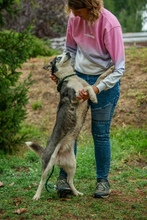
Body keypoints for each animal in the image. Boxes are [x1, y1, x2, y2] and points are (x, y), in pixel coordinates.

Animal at [25, 50, 113, 200]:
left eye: (62, 53)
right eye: (58, 58)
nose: (67, 52)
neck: (71, 77)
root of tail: (58, 158)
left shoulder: (86, 90)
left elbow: (97, 81)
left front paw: (110, 70)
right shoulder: (76, 96)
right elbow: (88, 88)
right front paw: (94, 97)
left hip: (72, 165)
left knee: (70, 180)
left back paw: (76, 192)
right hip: (47, 164)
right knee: (42, 180)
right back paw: (37, 195)